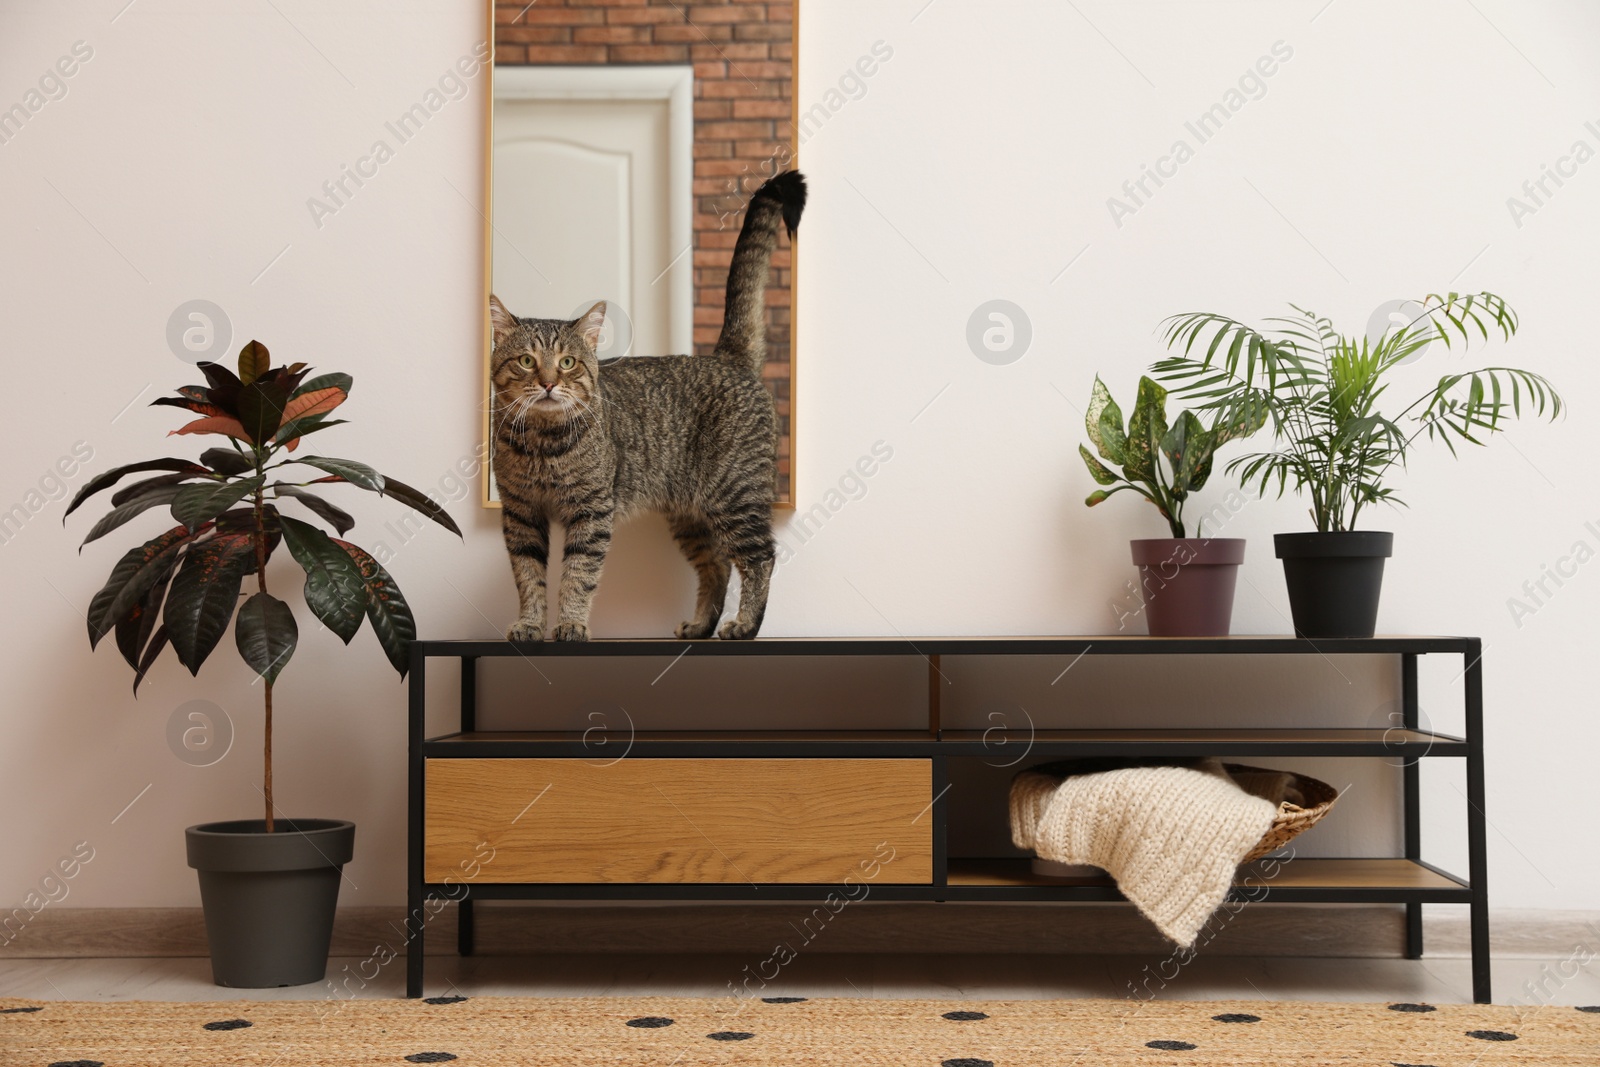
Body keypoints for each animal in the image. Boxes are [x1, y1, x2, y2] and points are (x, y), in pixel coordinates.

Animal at [486, 171, 806, 643]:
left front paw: (571, 623)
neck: (543, 441)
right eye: (526, 361)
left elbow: (578, 575)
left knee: (759, 556)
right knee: (716, 564)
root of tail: (725, 357)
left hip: (736, 493)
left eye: (567, 362)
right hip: (690, 515)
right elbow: (528, 577)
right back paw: (702, 623)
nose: (547, 383)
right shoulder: (520, 513)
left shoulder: (591, 512)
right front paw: (530, 623)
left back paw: (745, 624)